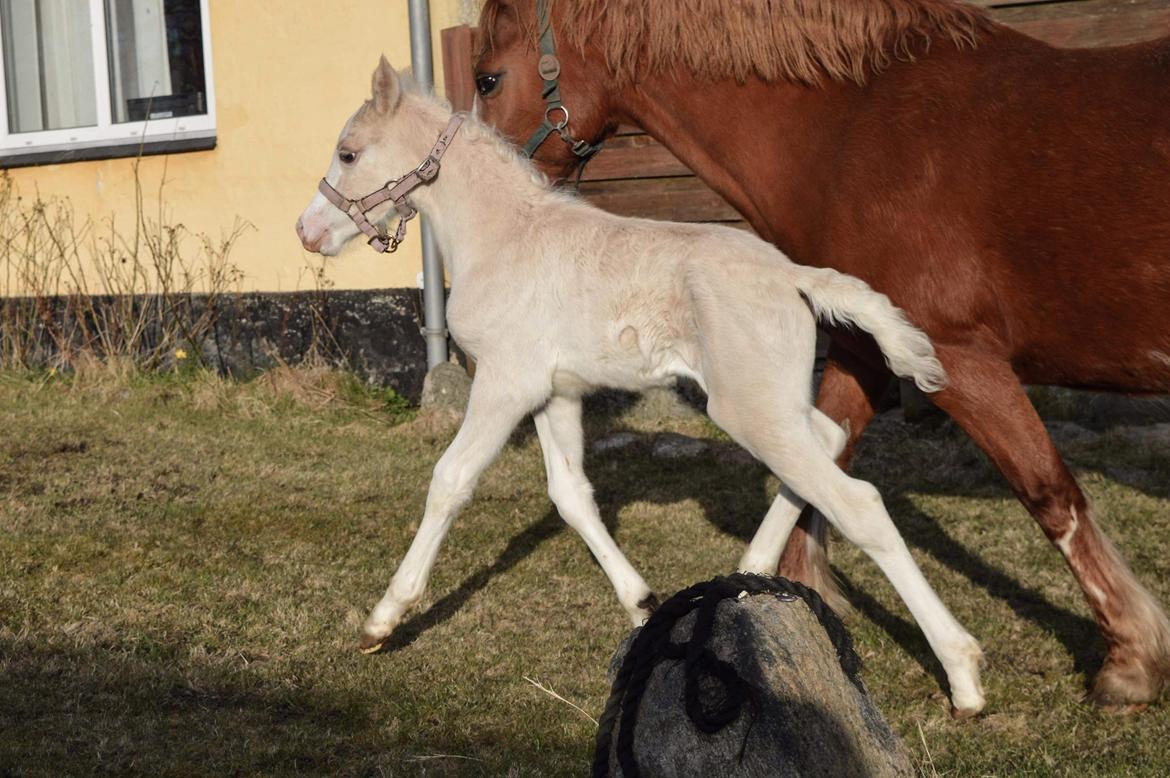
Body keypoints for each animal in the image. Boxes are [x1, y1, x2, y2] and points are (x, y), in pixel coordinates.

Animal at [297, 59, 982, 715]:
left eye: (349, 153)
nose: (307, 232)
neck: (505, 236)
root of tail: (793, 275)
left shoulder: (504, 381)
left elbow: (450, 479)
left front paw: (383, 619)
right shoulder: (554, 392)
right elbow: (571, 495)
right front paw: (644, 604)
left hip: (748, 407)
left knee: (858, 502)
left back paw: (964, 676)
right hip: (771, 401)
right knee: (830, 438)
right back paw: (747, 574)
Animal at [472, 0, 1170, 706]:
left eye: (487, 79)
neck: (849, 131)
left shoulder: (957, 357)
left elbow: (1049, 492)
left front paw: (1130, 662)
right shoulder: (863, 346)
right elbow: (821, 461)